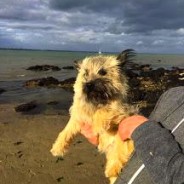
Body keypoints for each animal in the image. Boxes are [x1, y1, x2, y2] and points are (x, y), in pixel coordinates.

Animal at [50, 49, 138, 184]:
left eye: (102, 72)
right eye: (85, 73)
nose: (88, 85)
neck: (96, 100)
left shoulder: (122, 112)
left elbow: (104, 110)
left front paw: (98, 125)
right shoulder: (77, 118)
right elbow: (66, 131)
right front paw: (58, 147)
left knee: (118, 156)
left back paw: (112, 169)